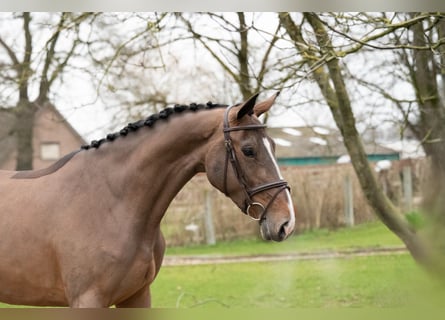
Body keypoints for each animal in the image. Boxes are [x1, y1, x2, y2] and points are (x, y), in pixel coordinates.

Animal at [0, 92, 294, 308]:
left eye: (273, 146)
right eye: (249, 150)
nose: (286, 222)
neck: (111, 201)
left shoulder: (137, 296)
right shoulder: (87, 301)